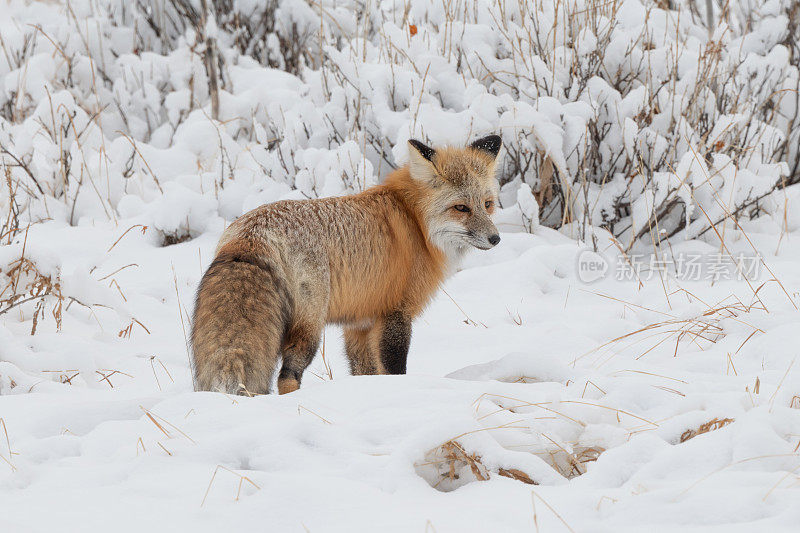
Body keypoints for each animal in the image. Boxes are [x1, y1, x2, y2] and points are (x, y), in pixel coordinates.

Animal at [191, 136, 504, 394]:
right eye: (461, 208)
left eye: (488, 204)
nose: (495, 238)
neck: (414, 221)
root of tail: (252, 234)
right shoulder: (396, 313)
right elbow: (394, 370)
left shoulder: (360, 324)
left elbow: (364, 372)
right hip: (310, 328)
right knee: (288, 376)